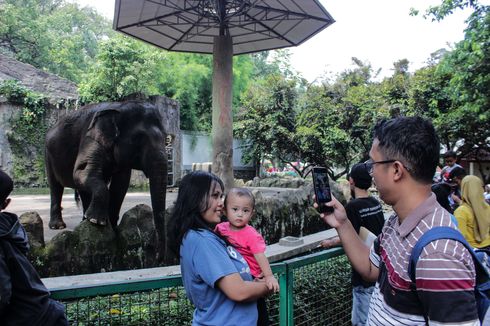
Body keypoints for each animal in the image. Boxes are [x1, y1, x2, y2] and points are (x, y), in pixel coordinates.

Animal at [46, 100, 168, 262]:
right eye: (139, 139)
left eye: (167, 139)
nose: (158, 257)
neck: (119, 107)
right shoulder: (90, 138)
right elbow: (81, 172)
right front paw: (98, 222)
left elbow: (121, 184)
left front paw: (111, 225)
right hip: (47, 154)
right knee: (55, 187)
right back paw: (59, 226)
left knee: (83, 190)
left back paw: (85, 220)